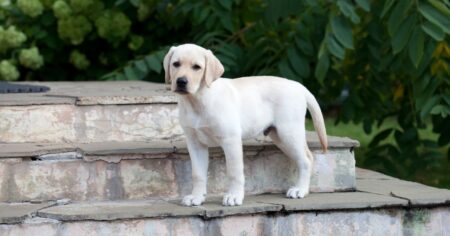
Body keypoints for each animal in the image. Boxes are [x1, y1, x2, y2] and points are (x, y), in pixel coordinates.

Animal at [163, 44, 326, 206]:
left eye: (197, 67)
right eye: (176, 64)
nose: (181, 81)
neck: (197, 100)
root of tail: (298, 86)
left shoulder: (231, 139)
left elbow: (234, 172)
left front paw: (234, 196)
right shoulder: (195, 143)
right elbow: (198, 174)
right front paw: (196, 197)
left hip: (289, 132)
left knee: (306, 159)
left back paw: (300, 190)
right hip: (280, 137)